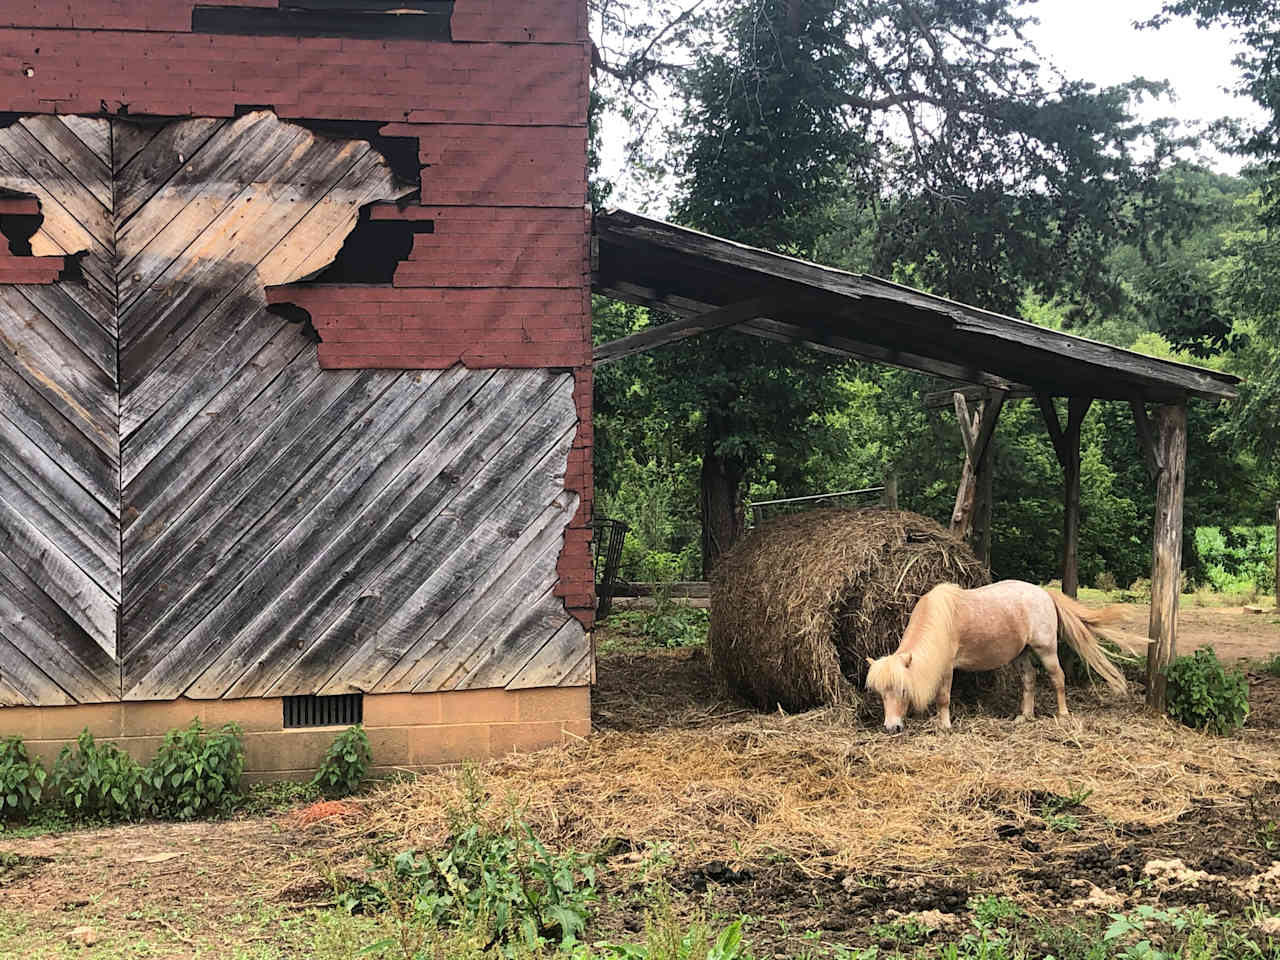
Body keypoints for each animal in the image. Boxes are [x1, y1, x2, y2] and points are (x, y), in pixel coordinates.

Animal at [865, 583, 1126, 732]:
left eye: (903, 690)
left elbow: (943, 698)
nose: (891, 728)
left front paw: (945, 726)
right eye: (881, 693)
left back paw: (1063, 715)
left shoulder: (947, 667)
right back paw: (1025, 717)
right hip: (1021, 654)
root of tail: (1044, 593)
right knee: (1029, 680)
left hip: (1046, 650)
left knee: (1058, 678)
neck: (939, 620)